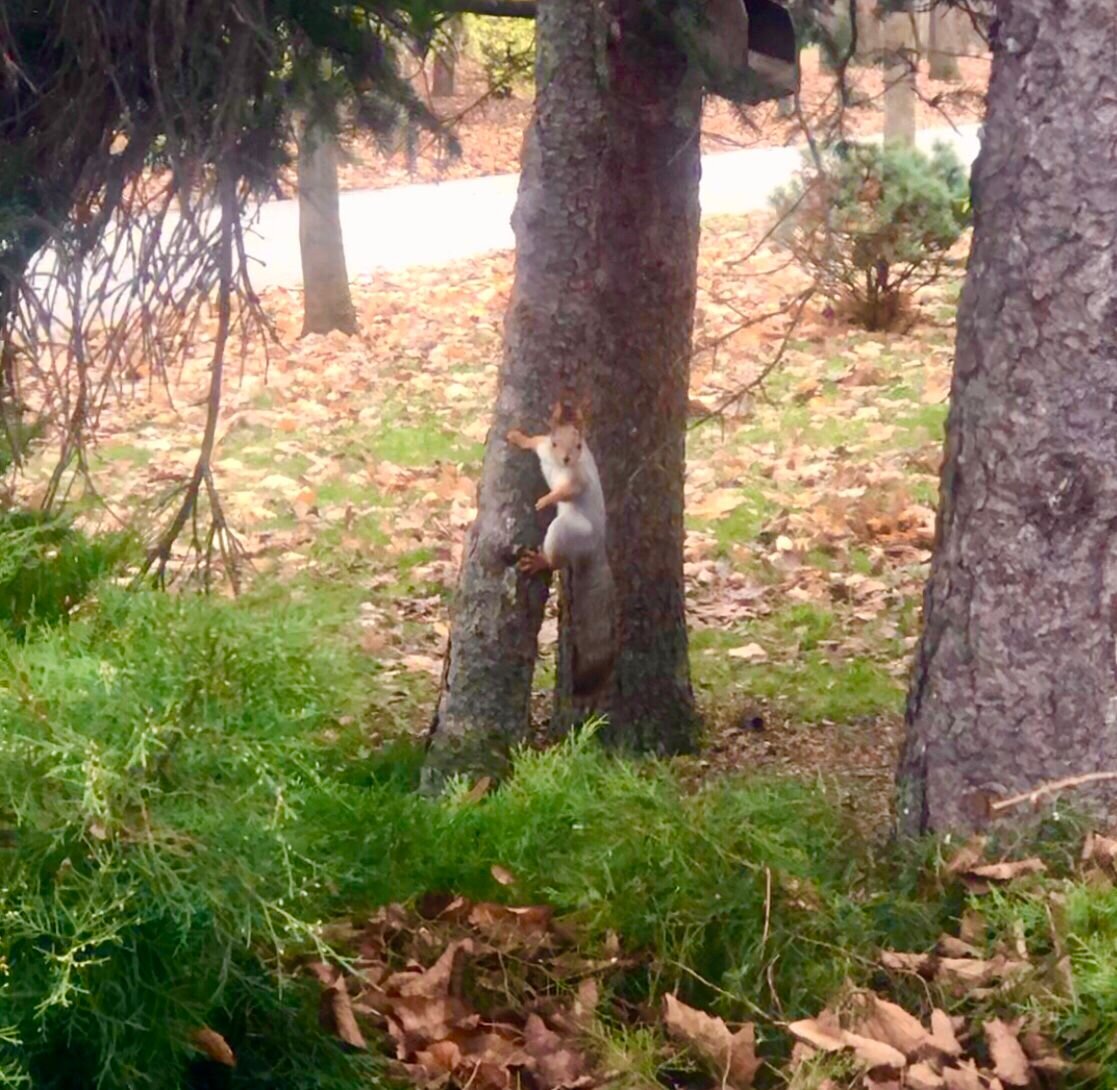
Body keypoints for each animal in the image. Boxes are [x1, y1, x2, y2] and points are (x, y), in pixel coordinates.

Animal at [509, 399, 621, 696]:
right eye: (555, 442)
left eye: (579, 445)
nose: (567, 459)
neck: (557, 464)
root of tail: (595, 548)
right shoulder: (543, 448)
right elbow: (533, 442)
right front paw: (517, 437)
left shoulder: (578, 480)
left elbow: (568, 491)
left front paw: (547, 499)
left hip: (566, 530)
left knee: (556, 561)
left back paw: (539, 561)